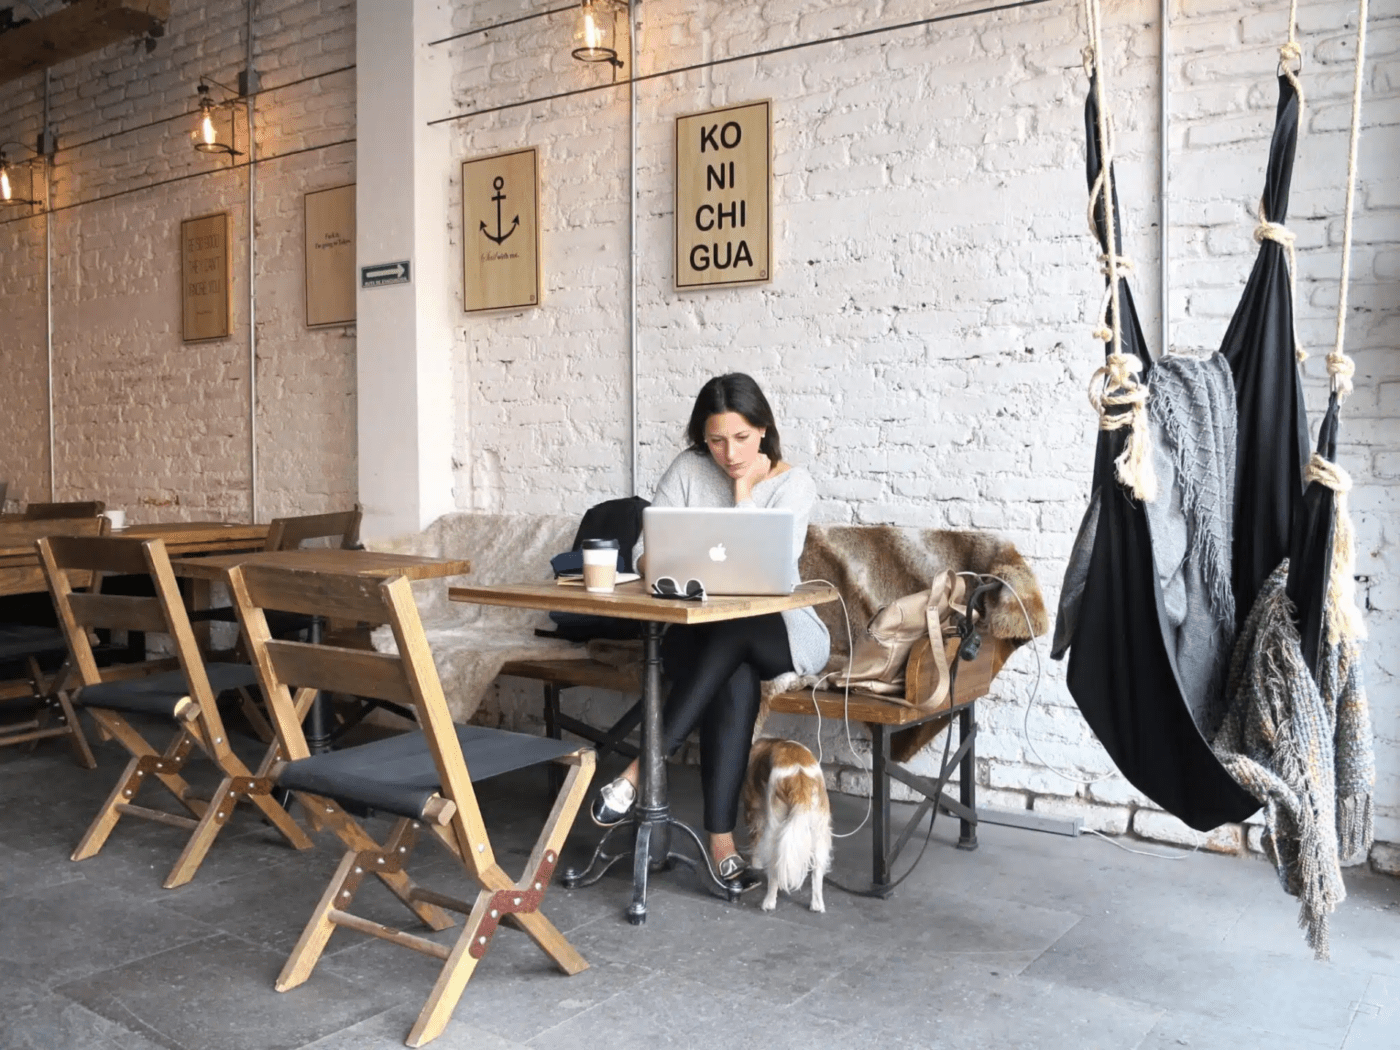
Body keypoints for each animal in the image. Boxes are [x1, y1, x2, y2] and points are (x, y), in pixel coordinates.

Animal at [744, 739, 828, 912]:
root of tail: (799, 777)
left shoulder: (754, 812)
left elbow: (755, 843)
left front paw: (756, 864)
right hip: (820, 830)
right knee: (817, 872)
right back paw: (817, 904)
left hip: (775, 826)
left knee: (775, 870)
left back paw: (768, 902)